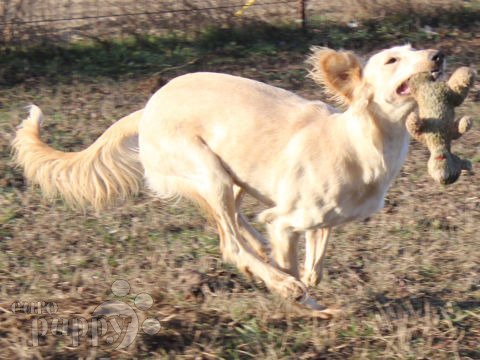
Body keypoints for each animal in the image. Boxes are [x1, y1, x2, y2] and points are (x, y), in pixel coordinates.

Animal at [11, 44, 444, 316]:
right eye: (392, 60)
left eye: (416, 48)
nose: (439, 56)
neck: (361, 142)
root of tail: (147, 108)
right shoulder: (286, 221)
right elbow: (291, 266)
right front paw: (294, 296)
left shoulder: (322, 222)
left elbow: (314, 265)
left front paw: (306, 289)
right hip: (209, 173)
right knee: (230, 245)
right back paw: (270, 274)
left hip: (232, 177)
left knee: (238, 226)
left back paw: (259, 251)